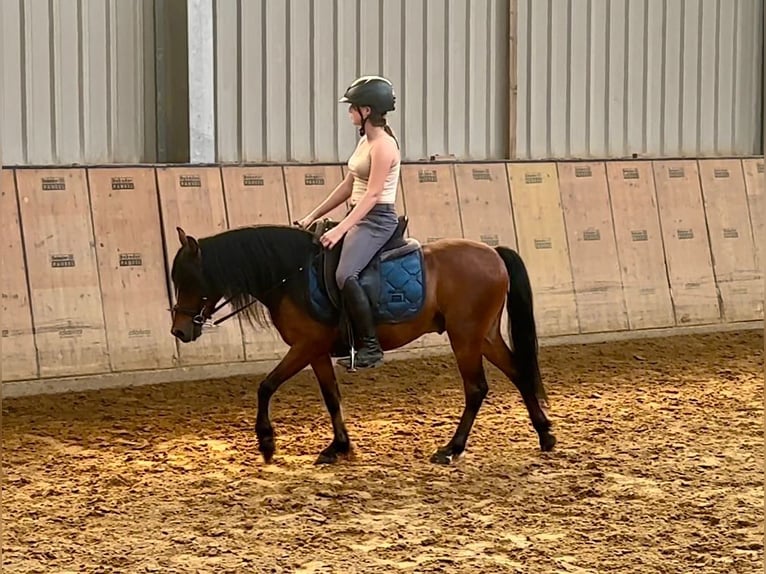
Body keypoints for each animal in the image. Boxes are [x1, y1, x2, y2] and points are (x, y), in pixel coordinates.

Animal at [170, 217, 560, 468]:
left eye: (189, 278)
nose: (179, 331)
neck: (291, 276)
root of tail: (493, 253)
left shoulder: (304, 346)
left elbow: (265, 386)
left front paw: (267, 442)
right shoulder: (316, 351)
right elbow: (331, 397)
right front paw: (338, 447)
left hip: (464, 336)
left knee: (477, 388)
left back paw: (451, 449)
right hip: (485, 334)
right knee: (519, 373)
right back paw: (545, 435)